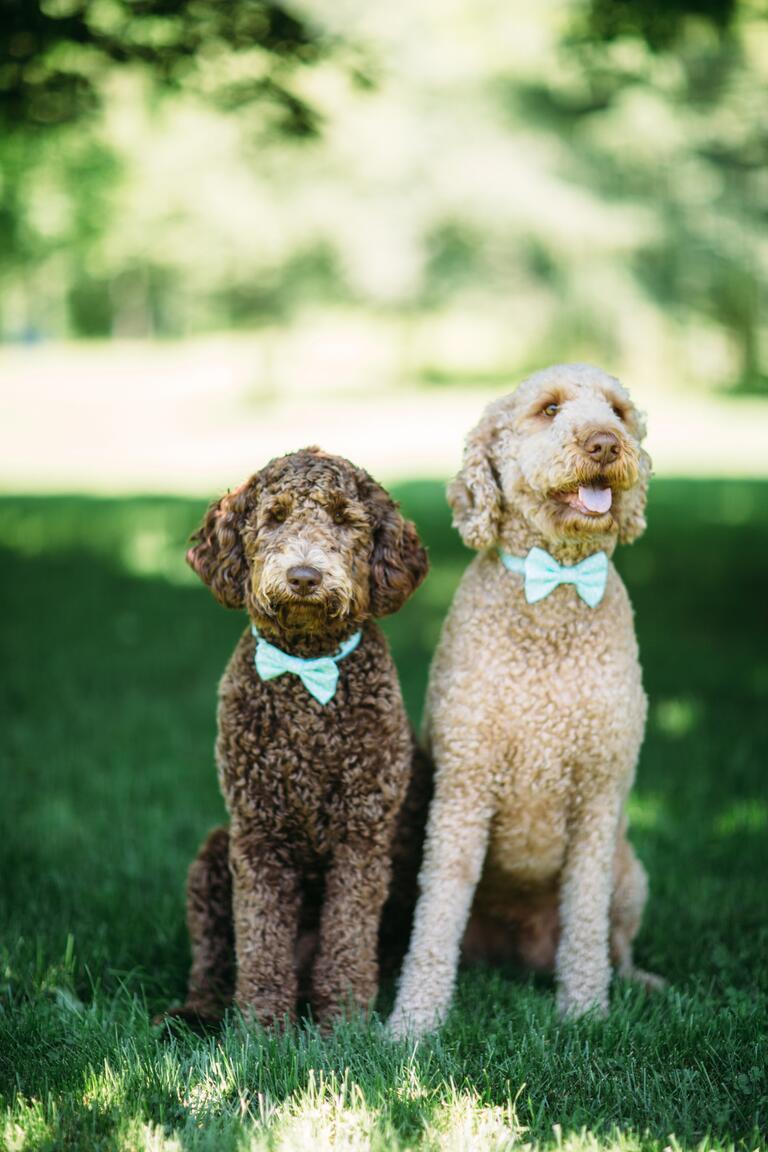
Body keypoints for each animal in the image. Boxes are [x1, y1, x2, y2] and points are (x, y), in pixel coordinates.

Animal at [165, 446, 432, 1027]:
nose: (305, 575)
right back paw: (195, 1010)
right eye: (275, 516)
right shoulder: (258, 834)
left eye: (344, 518)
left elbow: (348, 937)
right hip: (213, 857)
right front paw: (262, 1027)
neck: (307, 673)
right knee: (212, 959)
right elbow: (261, 939)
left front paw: (343, 1026)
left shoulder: (361, 836)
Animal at [393, 361, 663, 1036]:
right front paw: (413, 1025)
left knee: (617, 943)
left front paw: (585, 1012)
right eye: (548, 409)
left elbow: (587, 920)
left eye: (618, 411)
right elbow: (436, 918)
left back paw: (637, 983)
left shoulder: (599, 794)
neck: (556, 587)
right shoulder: (464, 790)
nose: (605, 444)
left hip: (631, 873)